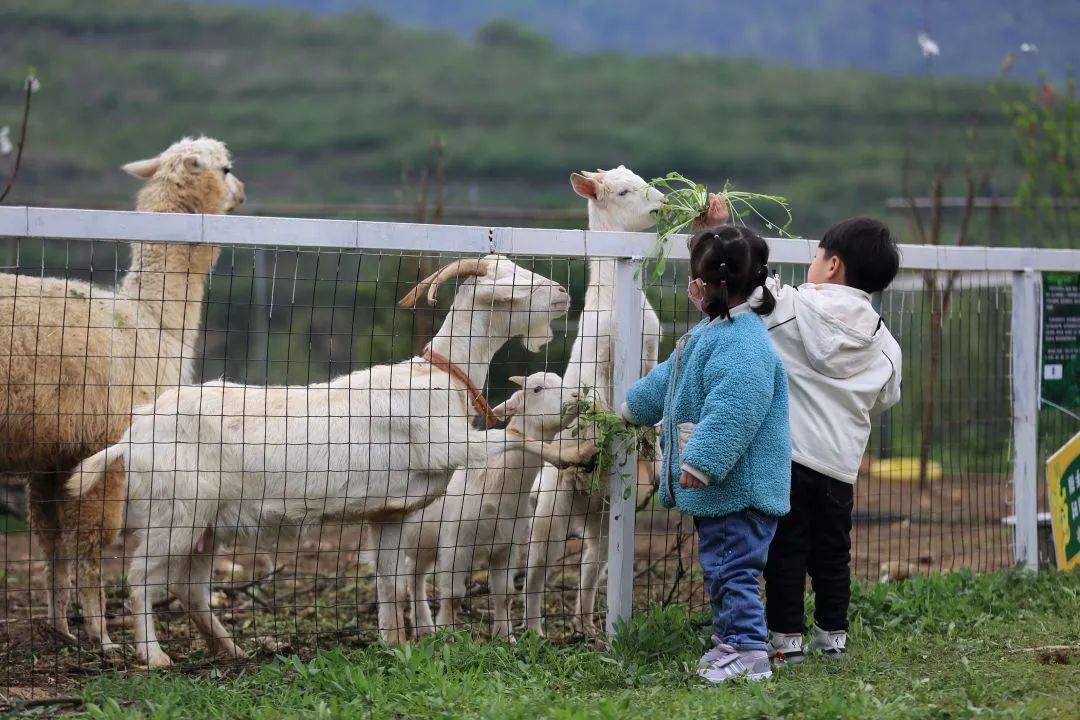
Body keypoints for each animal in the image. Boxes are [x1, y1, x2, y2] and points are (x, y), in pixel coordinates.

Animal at [401, 371, 578, 643]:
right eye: (537, 389)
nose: (577, 395)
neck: (497, 482)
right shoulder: (456, 543)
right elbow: (454, 594)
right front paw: (447, 634)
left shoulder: (507, 546)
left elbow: (504, 593)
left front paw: (505, 637)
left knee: (415, 573)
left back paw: (424, 626)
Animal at [524, 167, 665, 634]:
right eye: (622, 191)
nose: (663, 202)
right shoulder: (600, 353)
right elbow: (600, 392)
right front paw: (607, 423)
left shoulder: (652, 347)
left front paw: (653, 453)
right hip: (551, 511)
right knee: (537, 572)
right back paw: (535, 630)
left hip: (602, 524)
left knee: (590, 566)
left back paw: (588, 627)